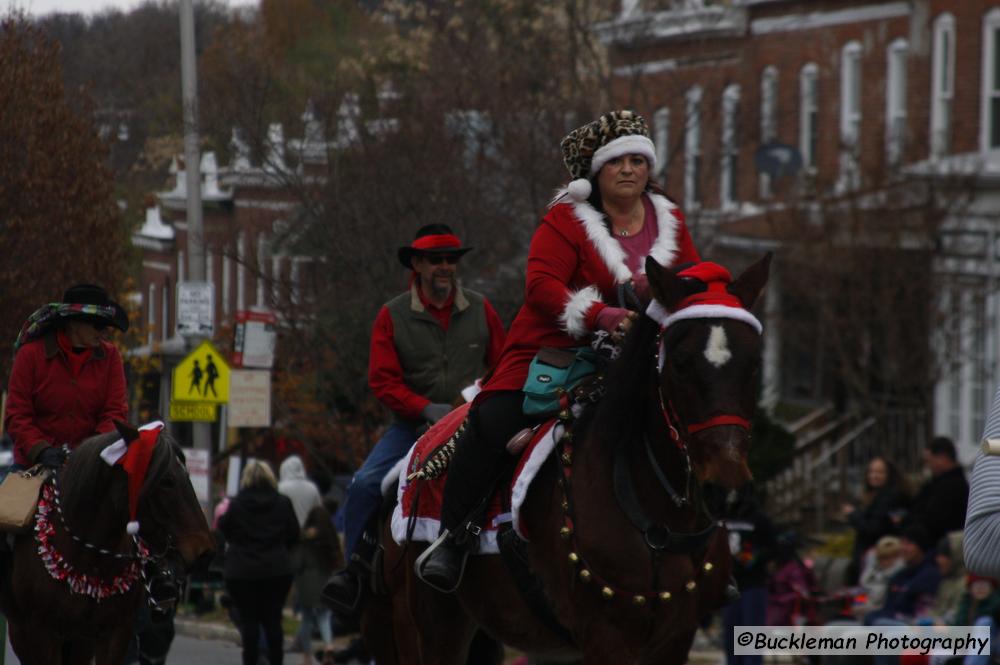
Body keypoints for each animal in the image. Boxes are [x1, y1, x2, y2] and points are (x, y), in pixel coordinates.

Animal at [364, 254, 768, 664]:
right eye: (681, 363)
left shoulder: (675, 639)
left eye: (754, 363)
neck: (656, 519)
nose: (727, 491)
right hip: (428, 626)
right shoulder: (606, 637)